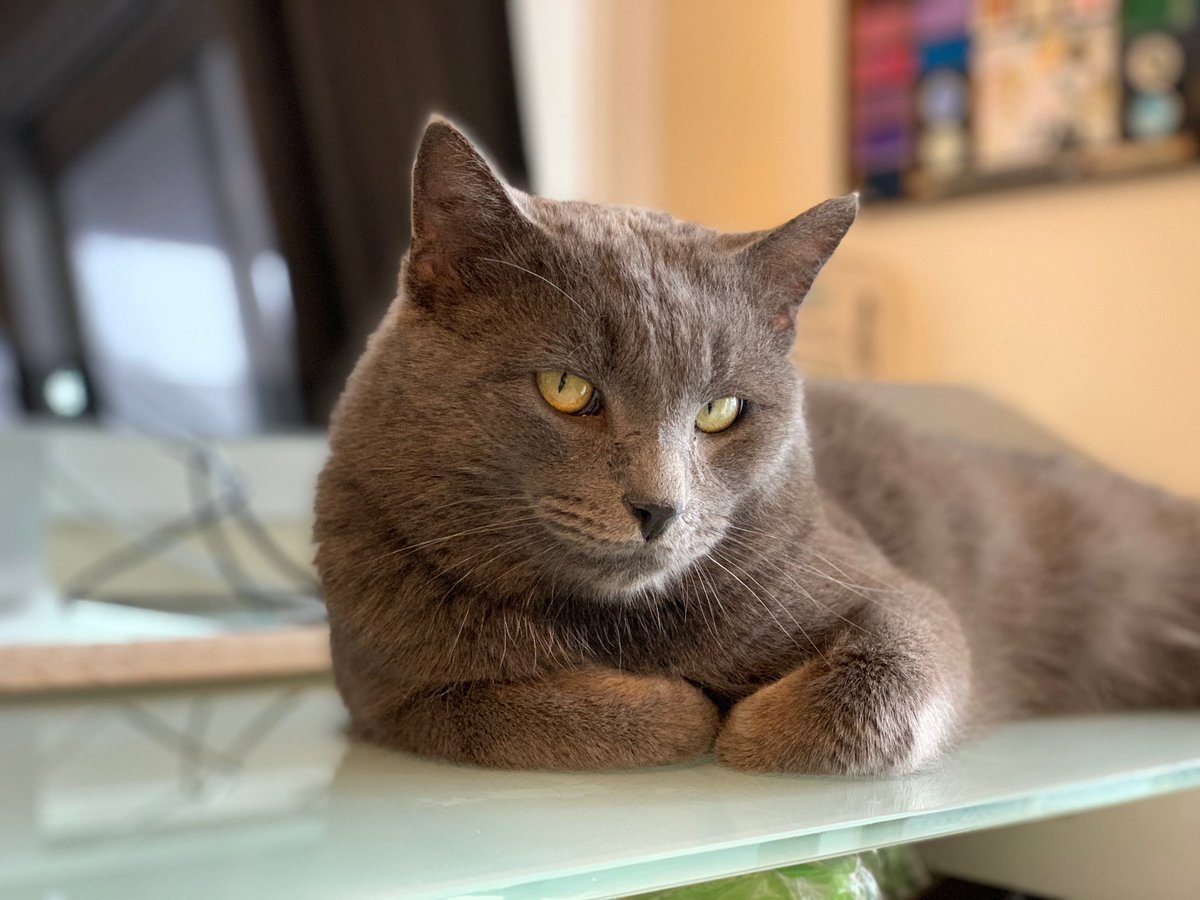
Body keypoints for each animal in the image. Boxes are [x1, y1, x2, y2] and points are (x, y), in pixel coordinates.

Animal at [312, 121, 1200, 777]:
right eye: (565, 387)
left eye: (720, 410)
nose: (658, 508)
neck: (629, 626)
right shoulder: (384, 691)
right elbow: (497, 711)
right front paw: (681, 709)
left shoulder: (885, 589)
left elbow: (898, 665)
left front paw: (746, 730)